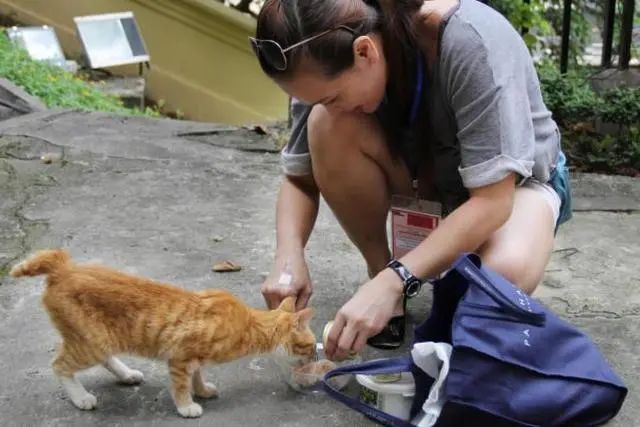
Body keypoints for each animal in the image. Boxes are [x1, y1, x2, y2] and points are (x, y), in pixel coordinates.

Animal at [10, 249, 318, 420]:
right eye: (311, 347)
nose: (316, 358)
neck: (248, 324)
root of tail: (63, 268)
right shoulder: (180, 357)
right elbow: (180, 385)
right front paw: (187, 406)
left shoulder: (194, 359)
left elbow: (198, 374)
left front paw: (202, 390)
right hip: (92, 344)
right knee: (59, 366)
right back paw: (81, 397)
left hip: (99, 339)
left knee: (102, 359)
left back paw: (127, 374)